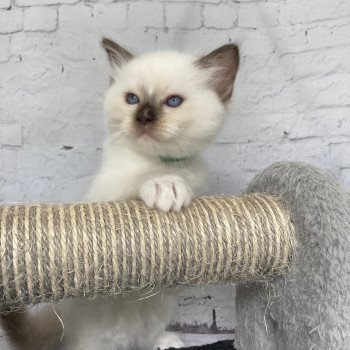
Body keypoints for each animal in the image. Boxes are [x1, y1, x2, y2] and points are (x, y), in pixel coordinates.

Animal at [0, 39, 239, 350]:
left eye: (173, 102)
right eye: (132, 99)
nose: (143, 118)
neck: (160, 161)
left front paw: (177, 185)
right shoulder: (105, 197)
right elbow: (135, 182)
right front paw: (164, 186)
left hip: (158, 312)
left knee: (148, 336)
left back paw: (166, 342)